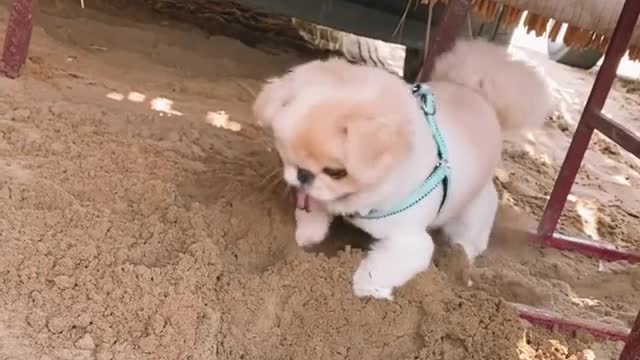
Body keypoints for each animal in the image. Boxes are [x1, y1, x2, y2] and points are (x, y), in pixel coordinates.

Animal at [252, 38, 552, 300]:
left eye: (336, 172)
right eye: (284, 154)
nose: (302, 175)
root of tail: (478, 93)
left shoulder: (410, 242)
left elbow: (382, 267)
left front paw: (365, 287)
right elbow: (314, 210)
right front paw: (308, 235)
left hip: (473, 215)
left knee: (468, 242)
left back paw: (460, 257)